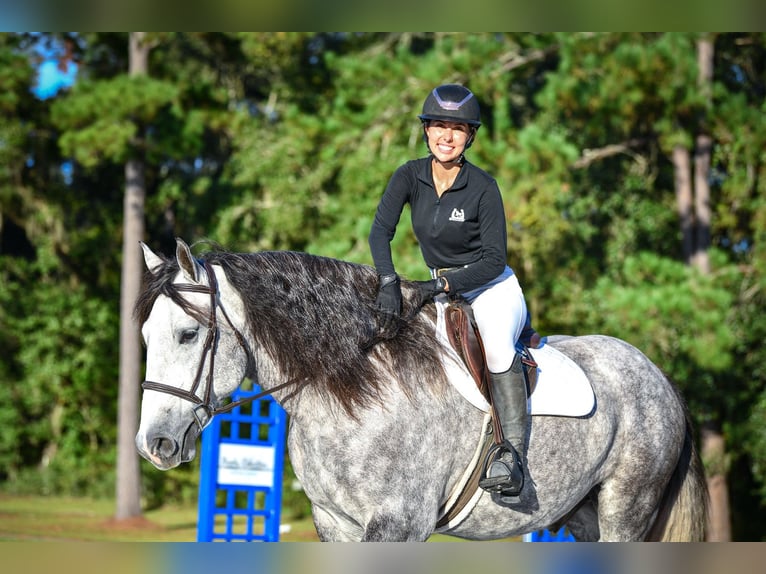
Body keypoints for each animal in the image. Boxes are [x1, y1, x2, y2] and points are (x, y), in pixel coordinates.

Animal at [134, 238, 708, 542]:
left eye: (188, 334)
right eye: (145, 335)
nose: (154, 444)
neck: (352, 388)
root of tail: (658, 376)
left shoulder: (397, 524)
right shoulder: (335, 523)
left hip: (626, 510)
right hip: (582, 515)